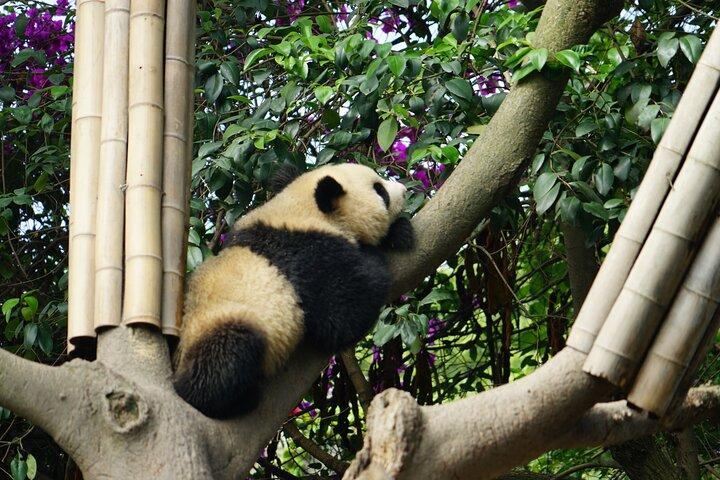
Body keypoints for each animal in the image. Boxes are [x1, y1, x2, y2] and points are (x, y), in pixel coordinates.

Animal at [173, 163, 414, 418]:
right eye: (380, 191)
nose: (404, 190)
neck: (299, 210)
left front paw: (398, 233)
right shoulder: (305, 253)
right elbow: (343, 316)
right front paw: (376, 250)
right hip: (216, 325)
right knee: (227, 353)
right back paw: (236, 401)